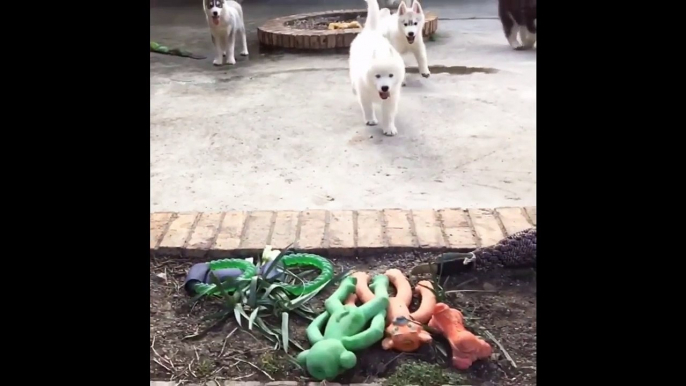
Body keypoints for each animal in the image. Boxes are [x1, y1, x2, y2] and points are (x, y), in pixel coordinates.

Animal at [350, 0, 408, 136]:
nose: (385, 87)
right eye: (377, 76)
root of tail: (371, 31)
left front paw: (389, 128)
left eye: (391, 75)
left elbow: (388, 113)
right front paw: (370, 119)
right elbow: (367, 106)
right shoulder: (364, 92)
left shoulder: (392, 96)